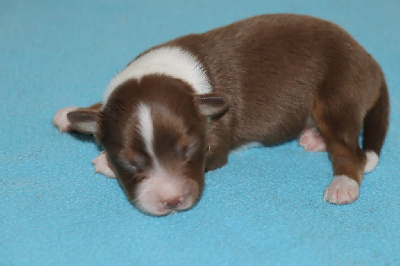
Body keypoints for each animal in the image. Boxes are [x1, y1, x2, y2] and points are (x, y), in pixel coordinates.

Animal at [51, 14, 390, 216]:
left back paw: (342, 185)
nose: (171, 201)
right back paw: (315, 139)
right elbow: (98, 110)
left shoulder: (216, 142)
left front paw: (103, 161)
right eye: (130, 162)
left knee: (351, 150)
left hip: (336, 95)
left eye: (188, 149)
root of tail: (370, 60)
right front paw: (73, 114)